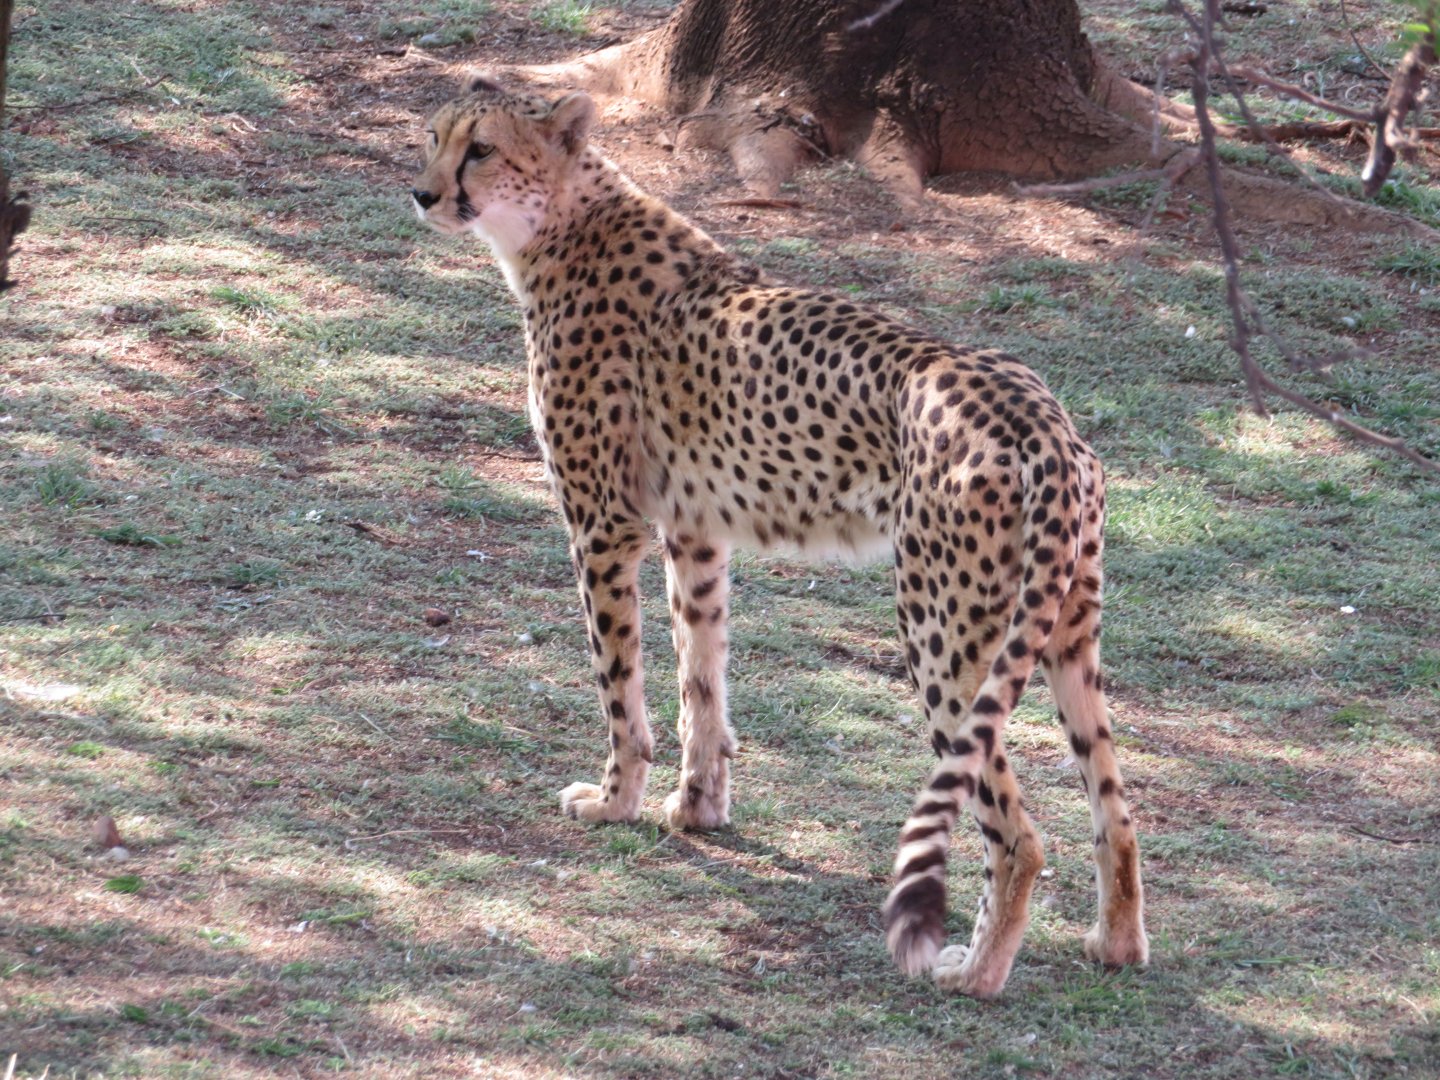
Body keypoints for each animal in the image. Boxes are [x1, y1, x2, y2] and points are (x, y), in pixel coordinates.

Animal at [410, 78, 1149, 998]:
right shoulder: (695, 534)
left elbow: (621, 687)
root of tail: (1038, 415)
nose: (423, 193)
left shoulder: (604, 524)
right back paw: (1115, 944)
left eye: (481, 149)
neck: (562, 220)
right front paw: (695, 808)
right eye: (432, 137)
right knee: (1116, 807)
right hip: (1066, 631)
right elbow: (700, 682)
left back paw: (973, 972)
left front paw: (616, 802)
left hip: (942, 634)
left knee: (1016, 835)